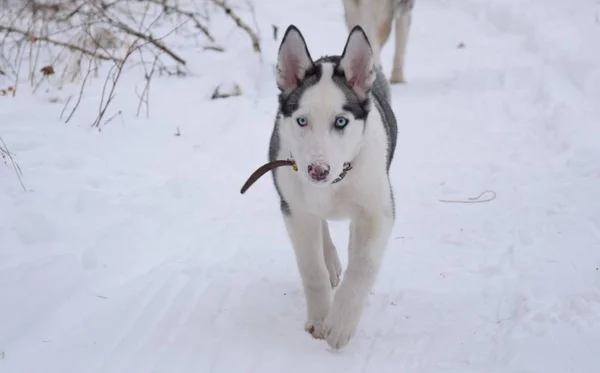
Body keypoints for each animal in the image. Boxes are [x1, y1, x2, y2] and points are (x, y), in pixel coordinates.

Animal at [268, 24, 398, 348]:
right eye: (301, 120)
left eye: (341, 122)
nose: (317, 171)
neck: (337, 180)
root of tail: (329, 56)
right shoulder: (295, 210)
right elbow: (311, 267)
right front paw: (319, 318)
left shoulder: (377, 211)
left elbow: (363, 266)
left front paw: (340, 323)